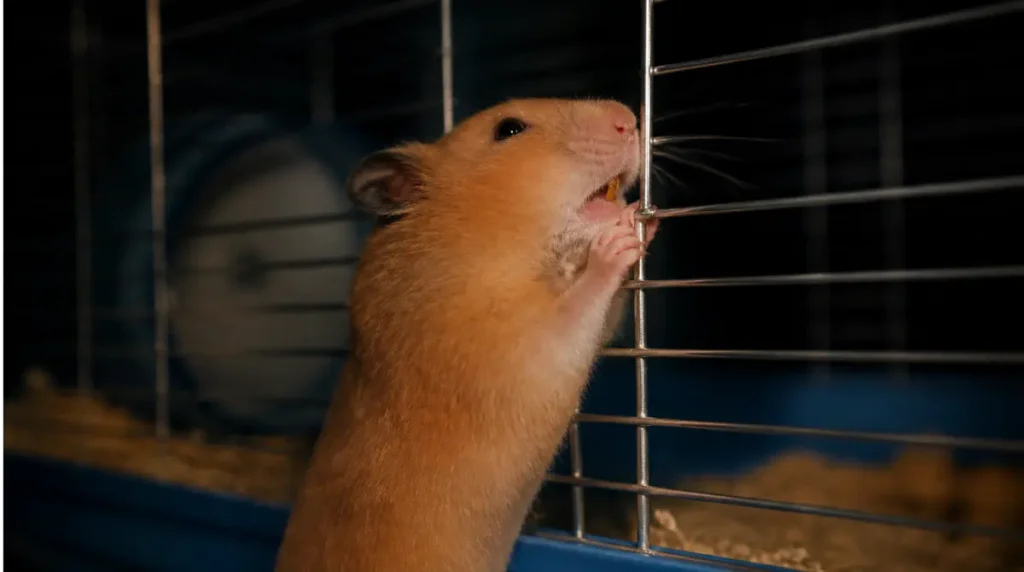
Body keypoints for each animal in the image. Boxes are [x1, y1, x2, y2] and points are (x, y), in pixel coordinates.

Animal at [274, 98, 658, 572]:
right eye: (509, 129)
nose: (628, 118)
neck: (475, 238)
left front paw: (646, 218)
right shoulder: (514, 346)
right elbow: (575, 307)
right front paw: (620, 234)